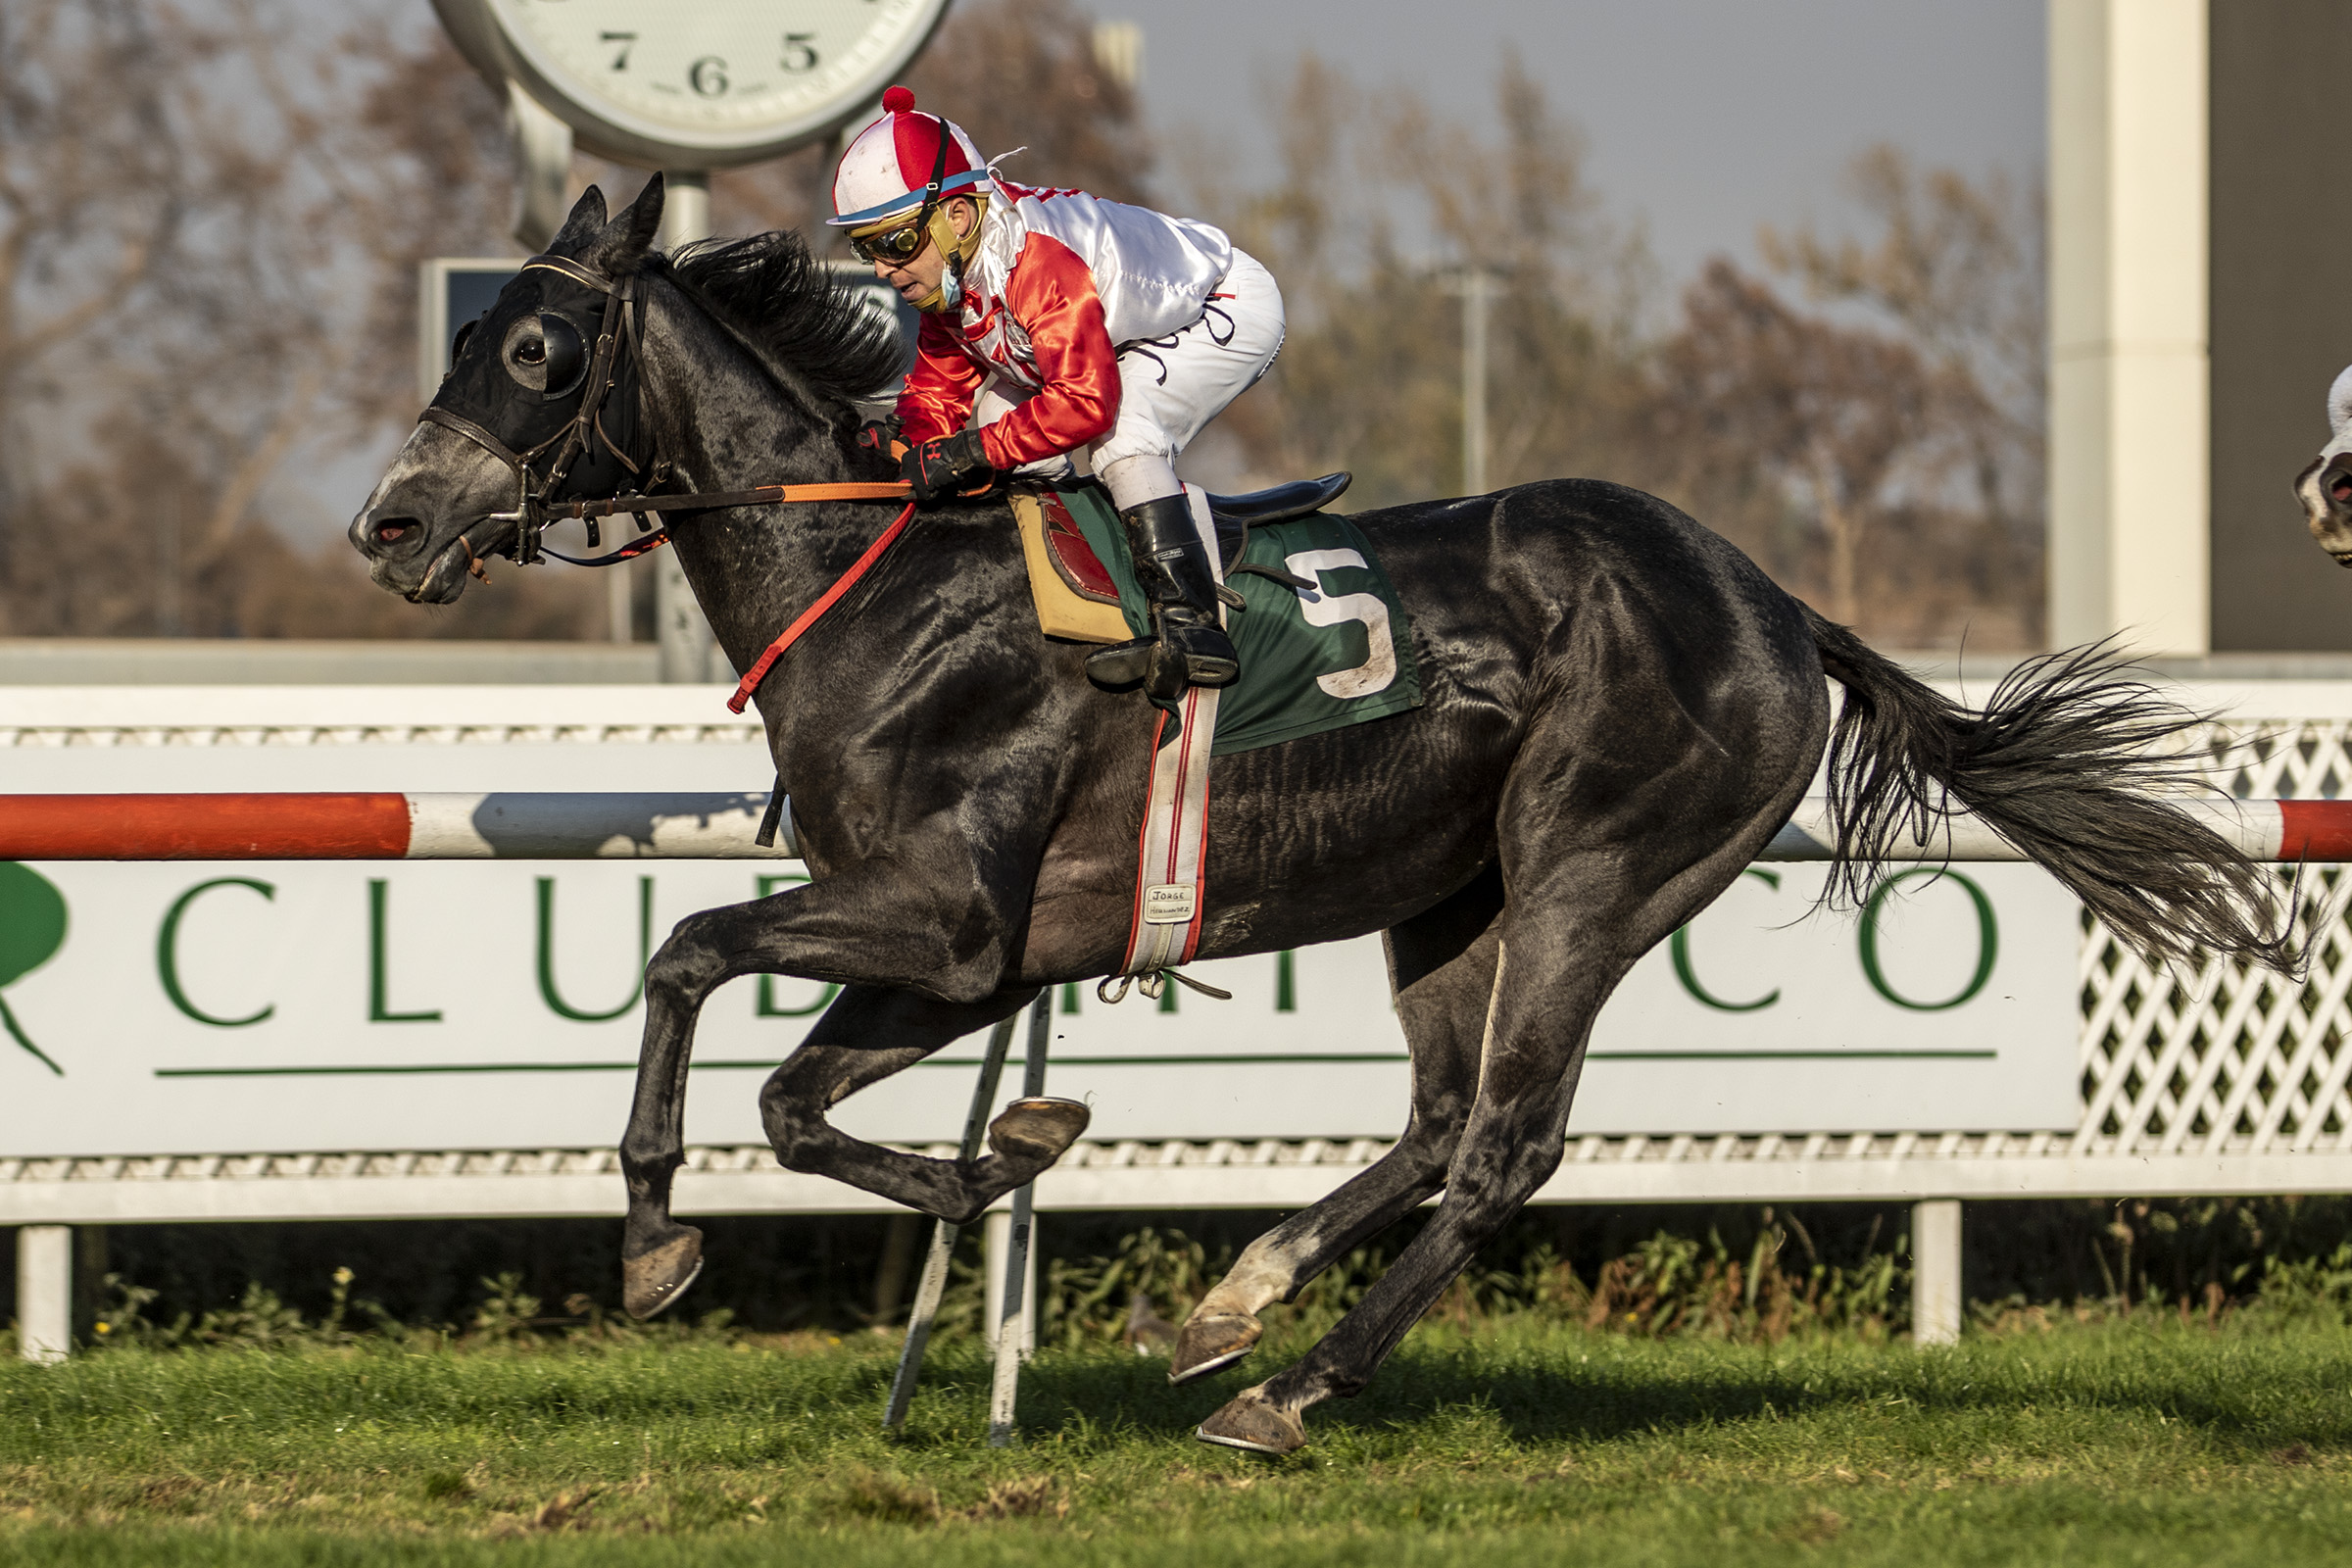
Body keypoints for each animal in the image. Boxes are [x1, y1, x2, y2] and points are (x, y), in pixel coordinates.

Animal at [353, 178, 2290, 1455]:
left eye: (538, 346)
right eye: (466, 332)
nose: (392, 520)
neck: (883, 573)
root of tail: (1770, 599)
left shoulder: (950, 915)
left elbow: (687, 954)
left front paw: (659, 1240)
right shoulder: (976, 957)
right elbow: (793, 1094)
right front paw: (1000, 1155)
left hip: (1595, 874)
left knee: (1506, 1144)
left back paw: (1289, 1392)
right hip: (1444, 897)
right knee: (1436, 1125)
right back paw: (1232, 1310)